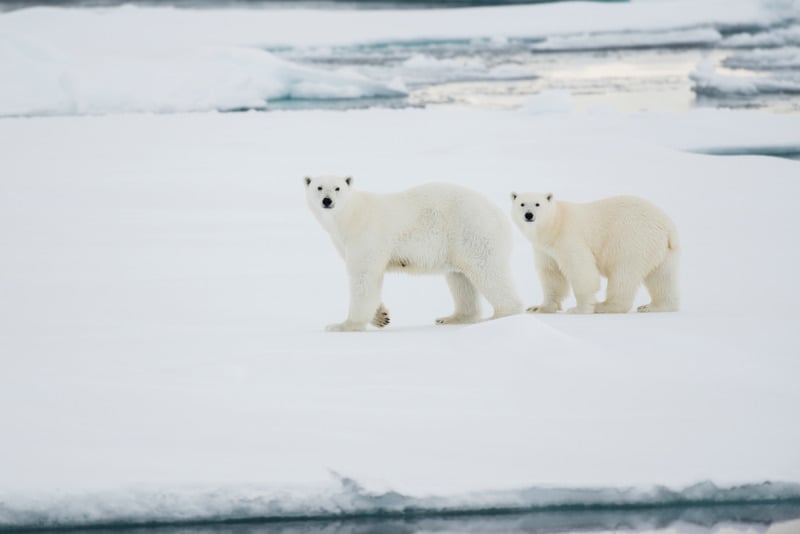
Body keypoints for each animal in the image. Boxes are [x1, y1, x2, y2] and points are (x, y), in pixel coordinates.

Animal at [304, 176, 520, 332]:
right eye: (319, 187)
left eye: (337, 188)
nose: (327, 200)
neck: (352, 216)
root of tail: (502, 217)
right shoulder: (343, 242)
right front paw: (381, 316)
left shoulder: (367, 236)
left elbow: (364, 276)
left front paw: (344, 325)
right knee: (460, 279)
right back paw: (453, 318)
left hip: (473, 231)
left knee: (487, 271)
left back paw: (501, 315)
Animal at [512, 193, 680, 316]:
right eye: (522, 204)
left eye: (537, 204)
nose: (529, 215)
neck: (554, 224)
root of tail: (668, 227)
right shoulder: (545, 250)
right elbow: (552, 275)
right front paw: (538, 308)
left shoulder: (568, 237)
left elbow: (581, 270)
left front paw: (579, 309)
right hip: (663, 251)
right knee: (662, 277)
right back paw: (653, 306)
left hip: (632, 240)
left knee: (623, 273)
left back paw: (604, 306)